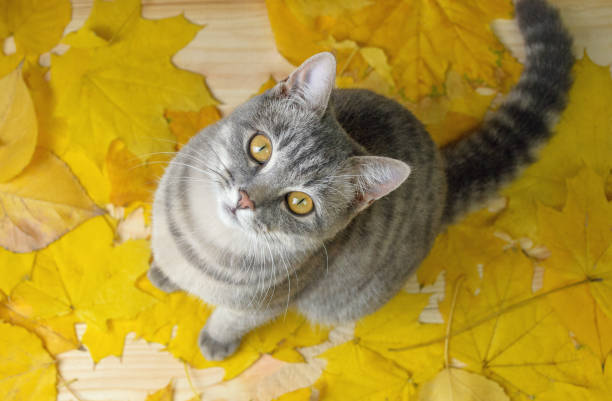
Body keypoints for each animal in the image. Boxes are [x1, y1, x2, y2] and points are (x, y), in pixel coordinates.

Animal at [148, 0, 572, 360]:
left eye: (299, 203)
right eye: (260, 148)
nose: (246, 199)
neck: (207, 241)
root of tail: (444, 176)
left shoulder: (268, 301)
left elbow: (231, 317)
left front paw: (216, 338)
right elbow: (168, 259)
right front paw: (164, 273)